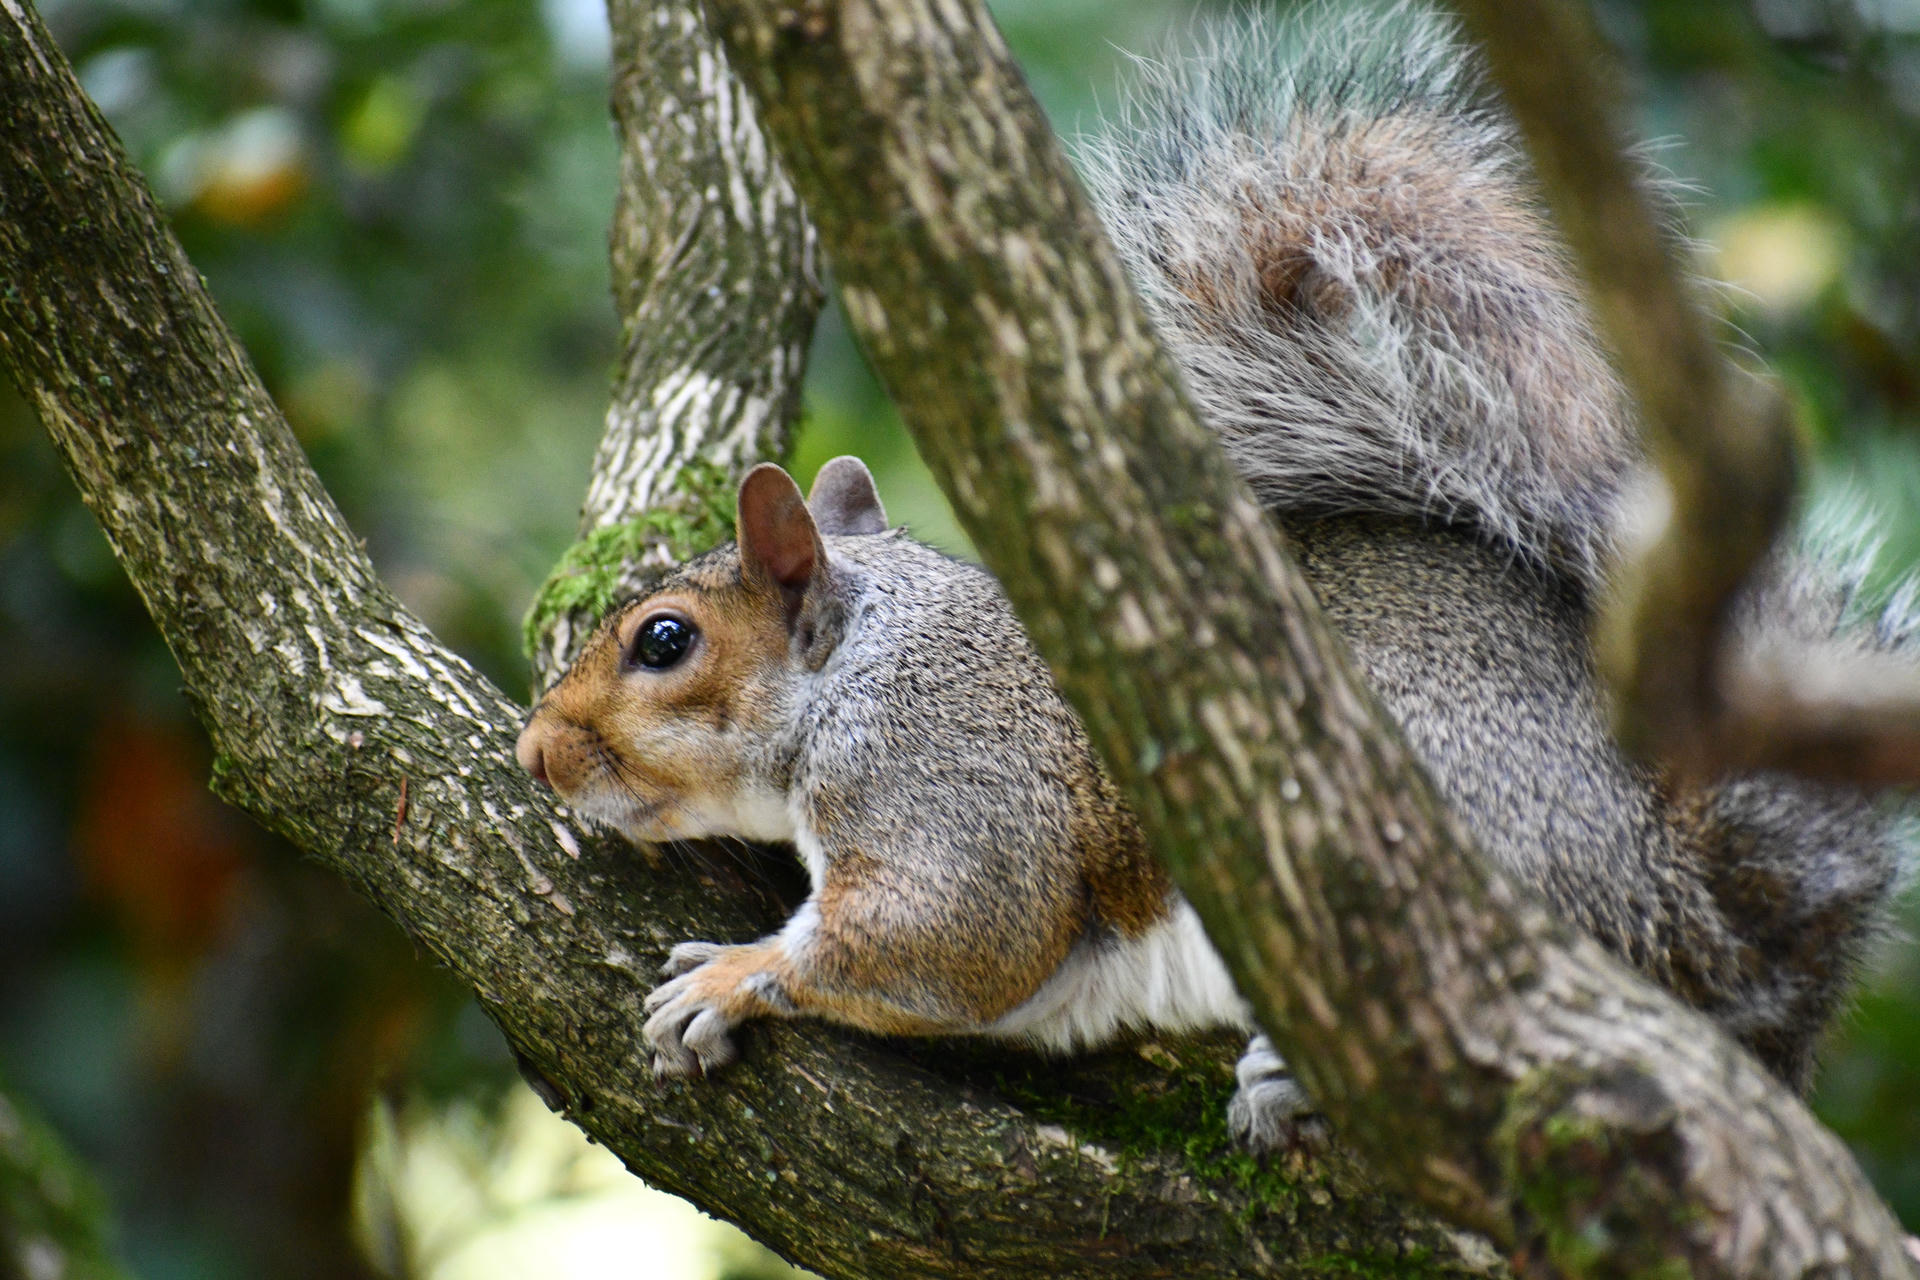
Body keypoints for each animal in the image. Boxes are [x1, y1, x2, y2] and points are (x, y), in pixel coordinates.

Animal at [515, 4, 1912, 1148]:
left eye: (663, 639)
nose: (534, 749)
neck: (862, 661)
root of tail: (1716, 923)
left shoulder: (948, 781)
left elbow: (945, 934)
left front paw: (728, 973)